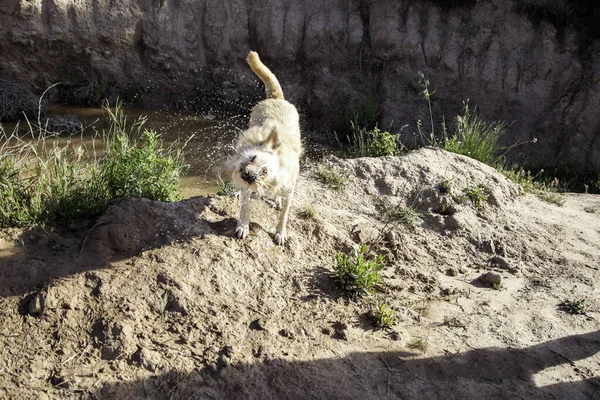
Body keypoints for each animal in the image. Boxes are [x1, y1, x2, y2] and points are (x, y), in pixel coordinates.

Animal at [230, 51, 304, 245]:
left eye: (264, 171)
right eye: (253, 158)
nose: (247, 174)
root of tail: (276, 98)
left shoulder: (289, 191)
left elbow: (284, 215)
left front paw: (280, 233)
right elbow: (245, 207)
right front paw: (243, 226)